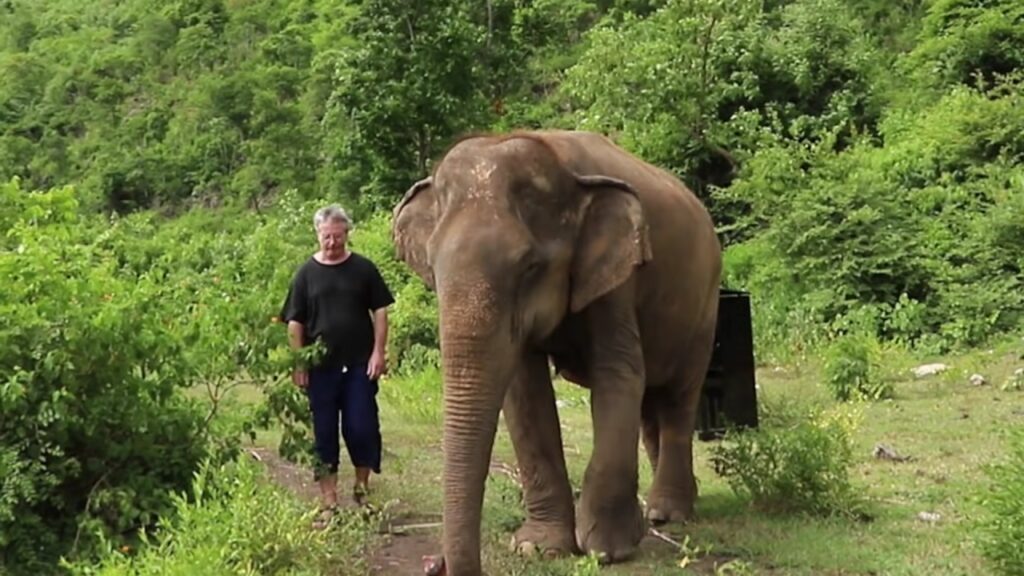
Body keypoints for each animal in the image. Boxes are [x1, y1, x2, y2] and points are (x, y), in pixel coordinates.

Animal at [389, 130, 720, 573]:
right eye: (432, 265)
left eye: (529, 267)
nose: (434, 563)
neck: (554, 154)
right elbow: (525, 392)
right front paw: (539, 548)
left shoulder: (617, 278)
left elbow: (618, 375)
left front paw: (608, 551)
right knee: (654, 401)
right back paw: (658, 512)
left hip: (706, 306)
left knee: (680, 397)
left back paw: (670, 513)